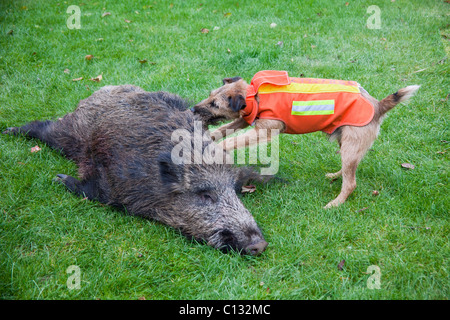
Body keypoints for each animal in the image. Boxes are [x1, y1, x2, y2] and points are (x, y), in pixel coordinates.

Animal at [194, 70, 422, 209]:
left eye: (215, 104)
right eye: (209, 95)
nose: (194, 109)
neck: (254, 96)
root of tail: (378, 106)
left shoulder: (263, 132)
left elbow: (230, 141)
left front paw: (216, 148)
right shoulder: (245, 121)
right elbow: (224, 129)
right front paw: (207, 136)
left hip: (350, 148)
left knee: (351, 183)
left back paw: (335, 204)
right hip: (346, 145)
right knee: (348, 171)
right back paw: (335, 175)